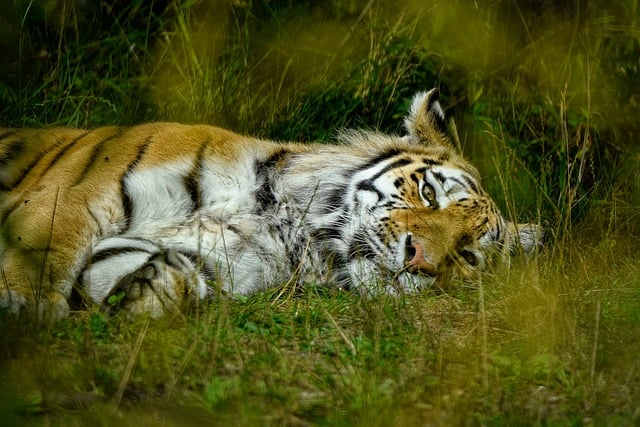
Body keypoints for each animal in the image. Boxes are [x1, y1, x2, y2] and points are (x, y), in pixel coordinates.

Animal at [0, 88, 544, 320]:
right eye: (429, 194)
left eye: (467, 256)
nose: (420, 260)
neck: (286, 225)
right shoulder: (79, 195)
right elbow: (44, 251)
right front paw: (25, 309)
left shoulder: (217, 258)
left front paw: (156, 288)